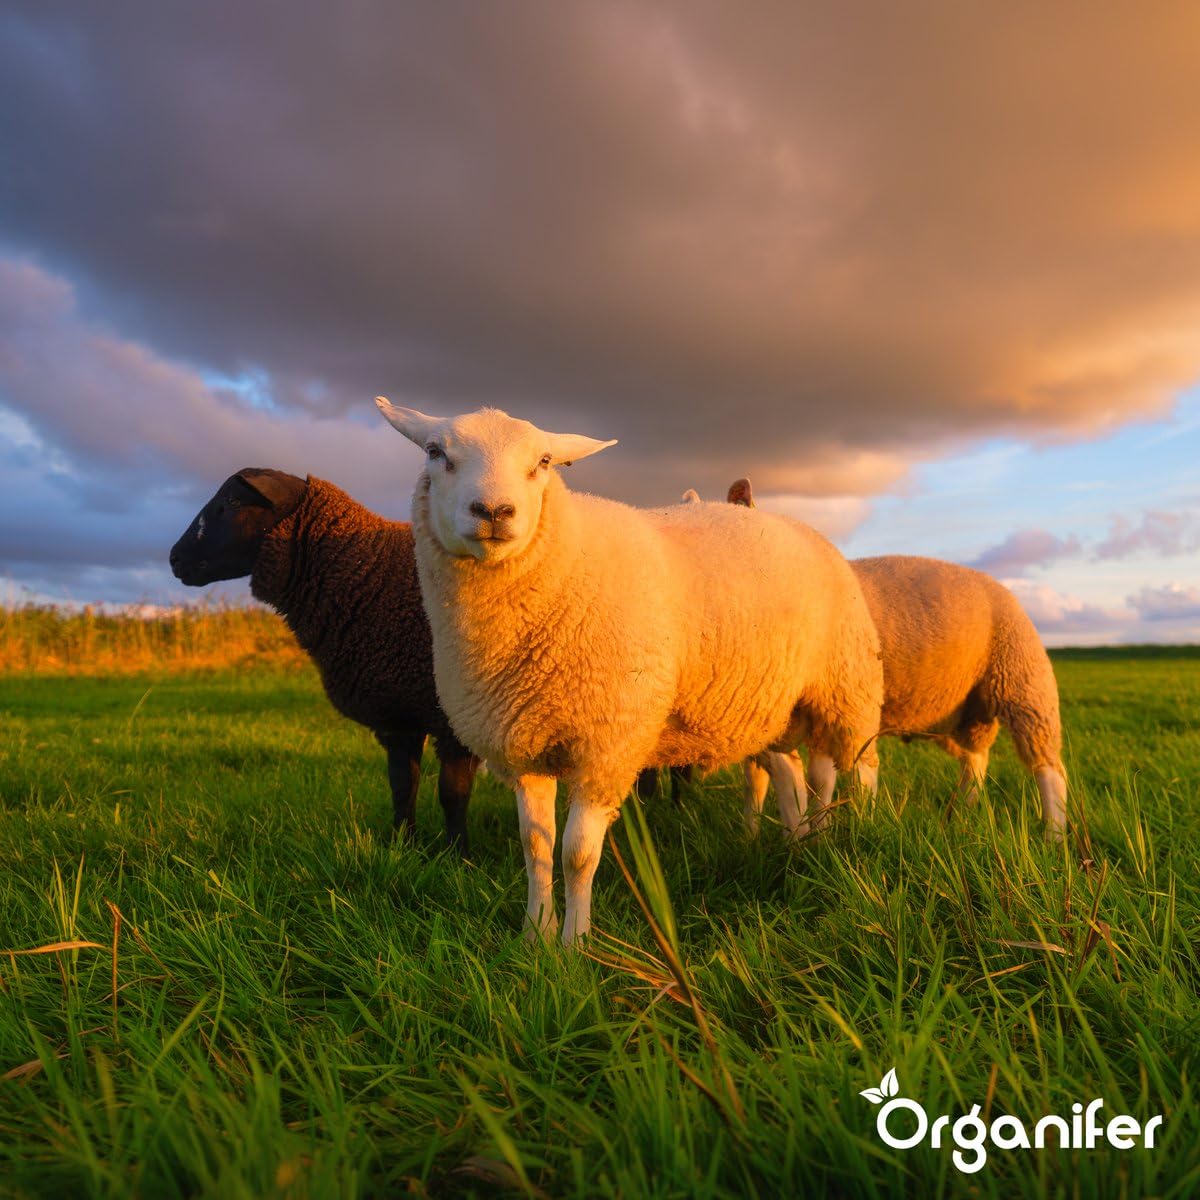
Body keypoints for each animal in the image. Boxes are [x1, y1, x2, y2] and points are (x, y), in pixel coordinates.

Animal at [169, 468, 480, 852]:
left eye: (232, 501)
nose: (174, 558)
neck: (369, 573)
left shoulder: (456, 720)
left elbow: (452, 793)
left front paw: (457, 856)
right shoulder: (397, 714)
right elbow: (403, 786)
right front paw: (401, 846)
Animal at [375, 400, 884, 944]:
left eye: (544, 461)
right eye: (435, 452)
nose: (493, 512)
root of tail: (792, 522)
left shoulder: (607, 746)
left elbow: (577, 854)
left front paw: (574, 944)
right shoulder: (523, 746)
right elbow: (535, 847)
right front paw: (535, 935)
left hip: (846, 685)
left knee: (856, 766)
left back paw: (859, 831)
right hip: (770, 708)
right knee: (792, 774)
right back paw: (798, 841)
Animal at [726, 477, 1067, 840]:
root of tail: (998, 585)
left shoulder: (831, 707)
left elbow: (807, 781)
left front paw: (805, 837)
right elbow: (762, 782)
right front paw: (756, 836)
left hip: (1022, 680)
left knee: (1049, 767)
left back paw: (1054, 834)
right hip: (961, 711)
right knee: (975, 759)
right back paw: (963, 813)